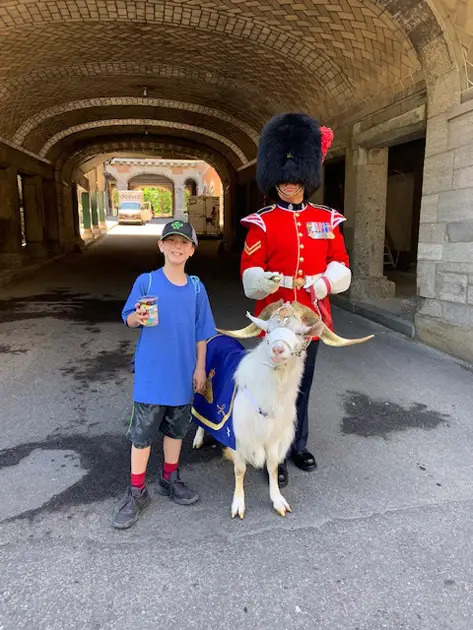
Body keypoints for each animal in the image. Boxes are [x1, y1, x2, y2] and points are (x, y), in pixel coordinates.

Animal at [192, 302, 372, 520]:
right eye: (268, 330)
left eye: (299, 333)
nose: (278, 349)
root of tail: (216, 337)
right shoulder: (237, 435)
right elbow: (240, 470)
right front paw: (238, 505)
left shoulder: (274, 437)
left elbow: (273, 467)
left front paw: (278, 501)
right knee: (201, 419)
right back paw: (198, 439)